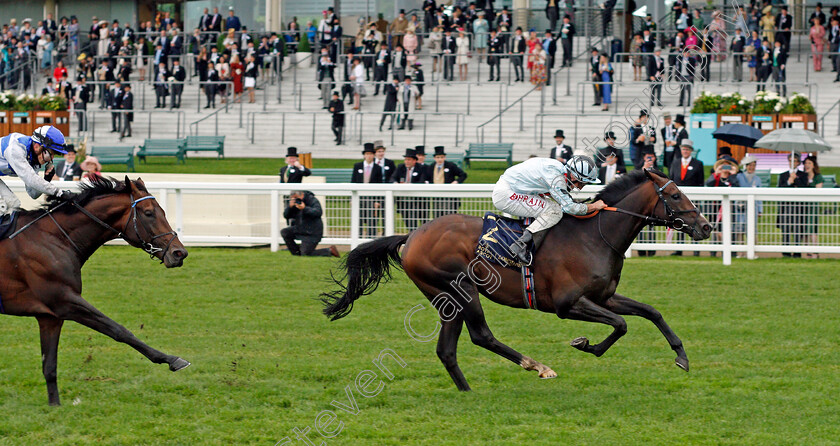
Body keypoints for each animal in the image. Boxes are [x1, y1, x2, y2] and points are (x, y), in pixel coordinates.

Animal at [0, 176, 189, 406]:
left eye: (162, 210)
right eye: (148, 213)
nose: (179, 253)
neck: (54, 238)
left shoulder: (50, 316)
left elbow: (49, 366)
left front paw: (55, 404)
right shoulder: (65, 300)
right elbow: (118, 330)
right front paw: (171, 359)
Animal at [324, 170, 712, 390]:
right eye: (674, 195)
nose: (706, 226)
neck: (595, 235)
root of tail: (413, 235)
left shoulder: (603, 296)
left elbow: (650, 312)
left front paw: (681, 356)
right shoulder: (568, 304)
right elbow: (621, 325)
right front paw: (585, 344)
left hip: (446, 299)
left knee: (447, 350)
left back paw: (468, 392)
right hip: (460, 289)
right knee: (481, 336)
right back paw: (537, 366)